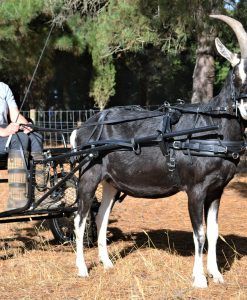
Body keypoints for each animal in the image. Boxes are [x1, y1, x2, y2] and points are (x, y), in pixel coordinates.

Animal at [71, 15, 247, 288]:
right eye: (240, 72)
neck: (213, 127)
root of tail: (82, 129)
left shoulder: (217, 190)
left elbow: (214, 232)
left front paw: (217, 275)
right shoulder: (195, 189)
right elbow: (200, 233)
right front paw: (199, 279)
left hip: (110, 181)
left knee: (100, 217)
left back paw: (107, 263)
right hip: (88, 175)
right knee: (80, 219)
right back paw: (82, 268)